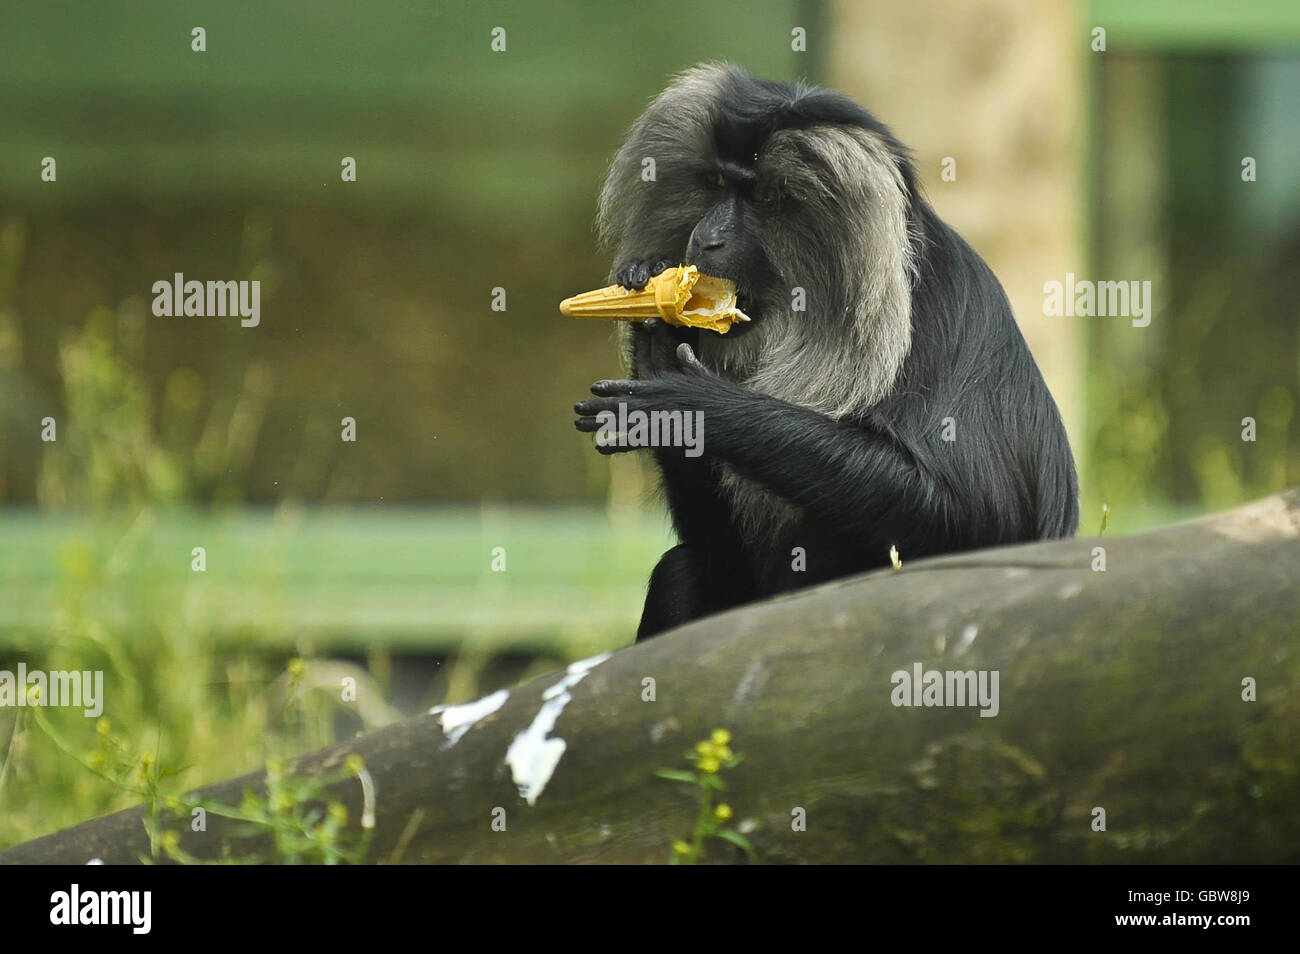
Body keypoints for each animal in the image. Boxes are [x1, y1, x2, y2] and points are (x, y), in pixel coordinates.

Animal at [572, 59, 1076, 642]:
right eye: (716, 183)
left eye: (765, 199)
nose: (705, 239)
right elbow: (724, 566)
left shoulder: (939, 321)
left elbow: (981, 517)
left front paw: (697, 406)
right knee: (680, 571)